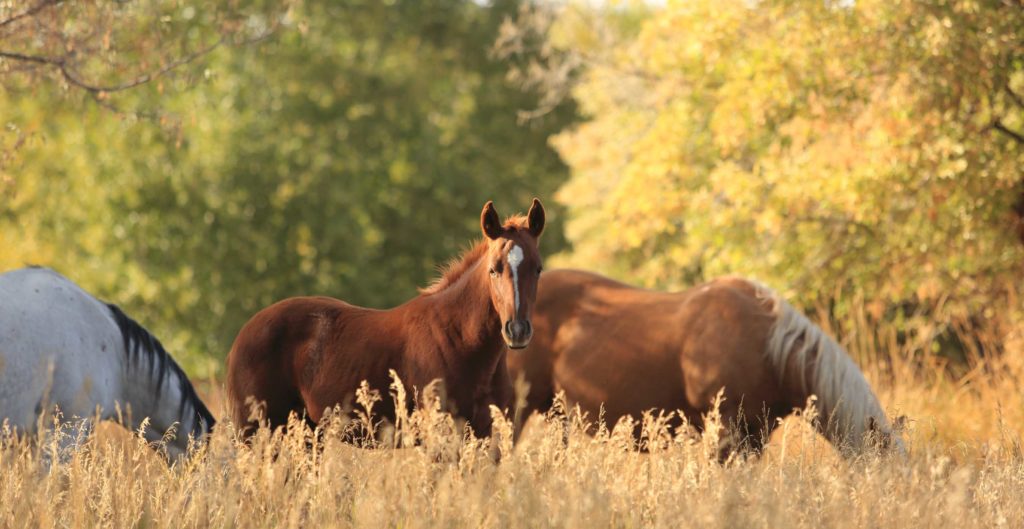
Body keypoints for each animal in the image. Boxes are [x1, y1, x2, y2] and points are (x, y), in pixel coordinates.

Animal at [224, 198, 544, 437]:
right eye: (494, 268)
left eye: (538, 268)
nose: (517, 330)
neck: (461, 340)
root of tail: (243, 335)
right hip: (257, 433)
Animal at [509, 268, 905, 454]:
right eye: (883, 460)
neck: (766, 344)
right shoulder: (725, 427)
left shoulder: (755, 434)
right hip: (516, 408)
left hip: (557, 416)